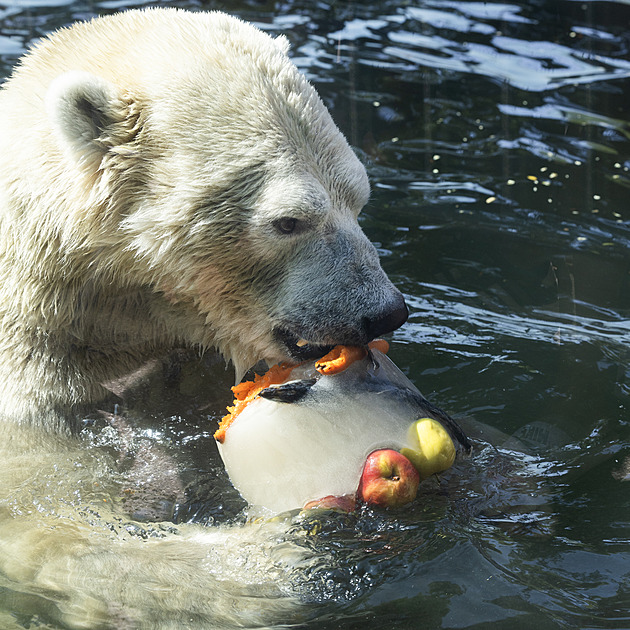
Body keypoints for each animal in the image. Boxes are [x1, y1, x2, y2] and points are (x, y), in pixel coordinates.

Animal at [0, 6, 410, 630]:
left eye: (358, 198)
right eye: (288, 221)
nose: (384, 312)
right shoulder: (34, 394)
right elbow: (45, 522)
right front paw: (275, 556)